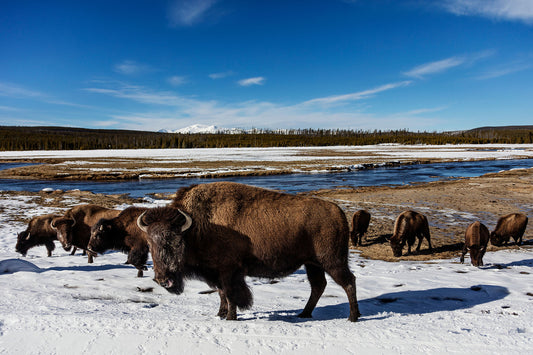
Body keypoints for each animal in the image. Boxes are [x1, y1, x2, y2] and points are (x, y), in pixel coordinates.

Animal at [135, 182, 360, 324]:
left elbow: (230, 294)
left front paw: (230, 317)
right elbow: (221, 294)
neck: (196, 227)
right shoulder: (217, 273)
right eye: (150, 243)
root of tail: (338, 212)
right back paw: (304, 314)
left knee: (348, 282)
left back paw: (353, 317)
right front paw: (220, 314)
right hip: (312, 264)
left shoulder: (229, 271)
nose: (163, 280)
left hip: (332, 261)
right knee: (318, 286)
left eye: (176, 241)